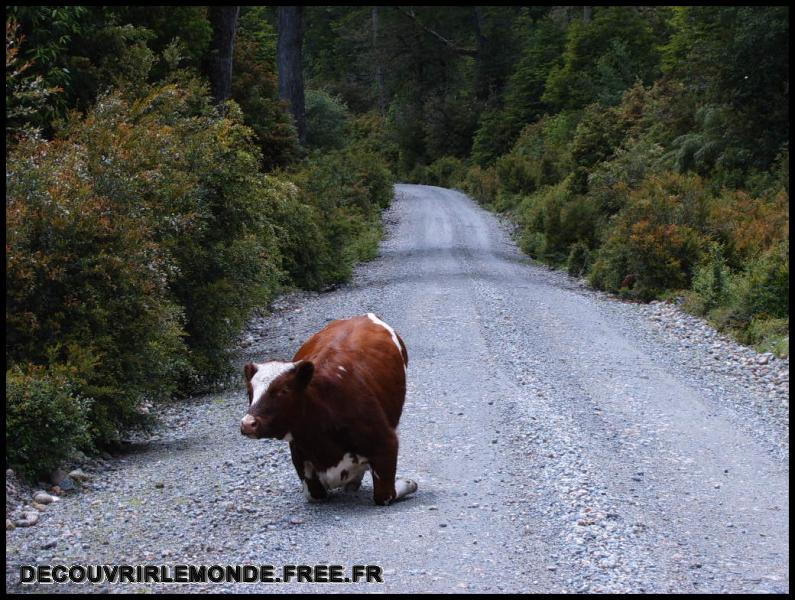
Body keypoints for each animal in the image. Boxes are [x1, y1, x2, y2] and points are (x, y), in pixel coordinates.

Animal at [241, 314, 416, 506]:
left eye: (284, 390)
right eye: (249, 391)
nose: (248, 424)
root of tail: (362, 316)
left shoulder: (386, 443)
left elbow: (384, 495)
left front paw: (409, 483)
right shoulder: (298, 453)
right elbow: (314, 494)